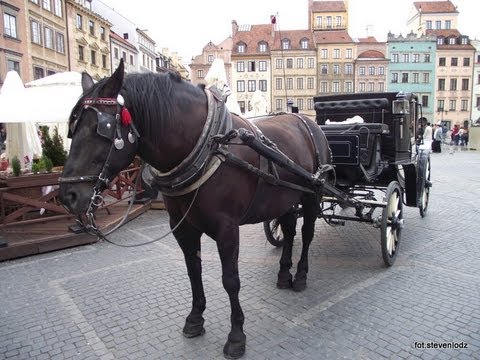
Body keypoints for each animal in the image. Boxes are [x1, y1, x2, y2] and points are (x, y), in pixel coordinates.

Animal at [59, 59, 330, 358]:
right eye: (72, 127)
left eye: (101, 128)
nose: (68, 195)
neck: (210, 144)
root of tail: (305, 121)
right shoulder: (183, 226)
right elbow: (193, 271)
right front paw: (195, 318)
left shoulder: (227, 229)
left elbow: (230, 280)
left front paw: (236, 335)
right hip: (284, 199)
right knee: (289, 231)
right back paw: (283, 274)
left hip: (311, 196)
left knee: (306, 234)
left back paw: (301, 276)